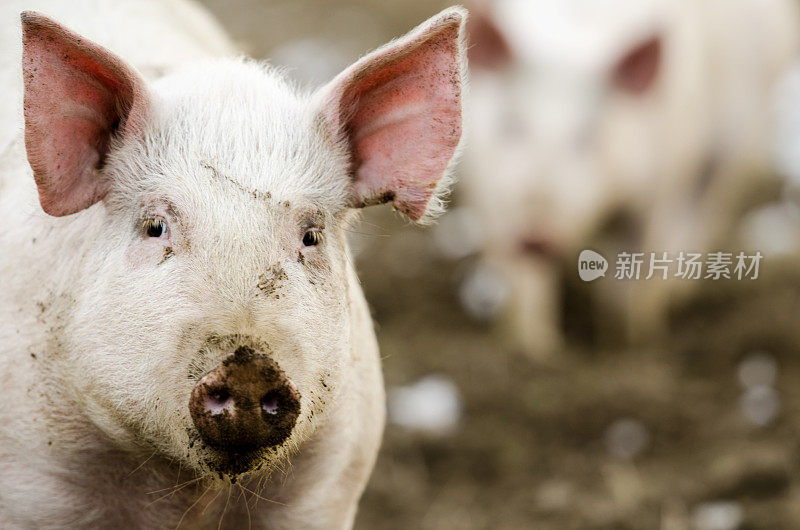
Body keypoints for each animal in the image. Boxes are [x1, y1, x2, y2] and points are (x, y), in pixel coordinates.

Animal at [0, 3, 468, 524]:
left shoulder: (330, 481)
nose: (248, 368)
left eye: (311, 236)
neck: (192, 495)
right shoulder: (32, 479)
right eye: (155, 227)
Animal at [456, 0, 800, 356]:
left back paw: (675, 292)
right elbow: (523, 281)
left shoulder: (656, 186)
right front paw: (535, 350)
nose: (536, 236)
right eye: (511, 122)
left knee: (704, 208)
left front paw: (623, 346)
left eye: (590, 135)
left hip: (738, 140)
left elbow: (628, 279)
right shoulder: (491, 193)